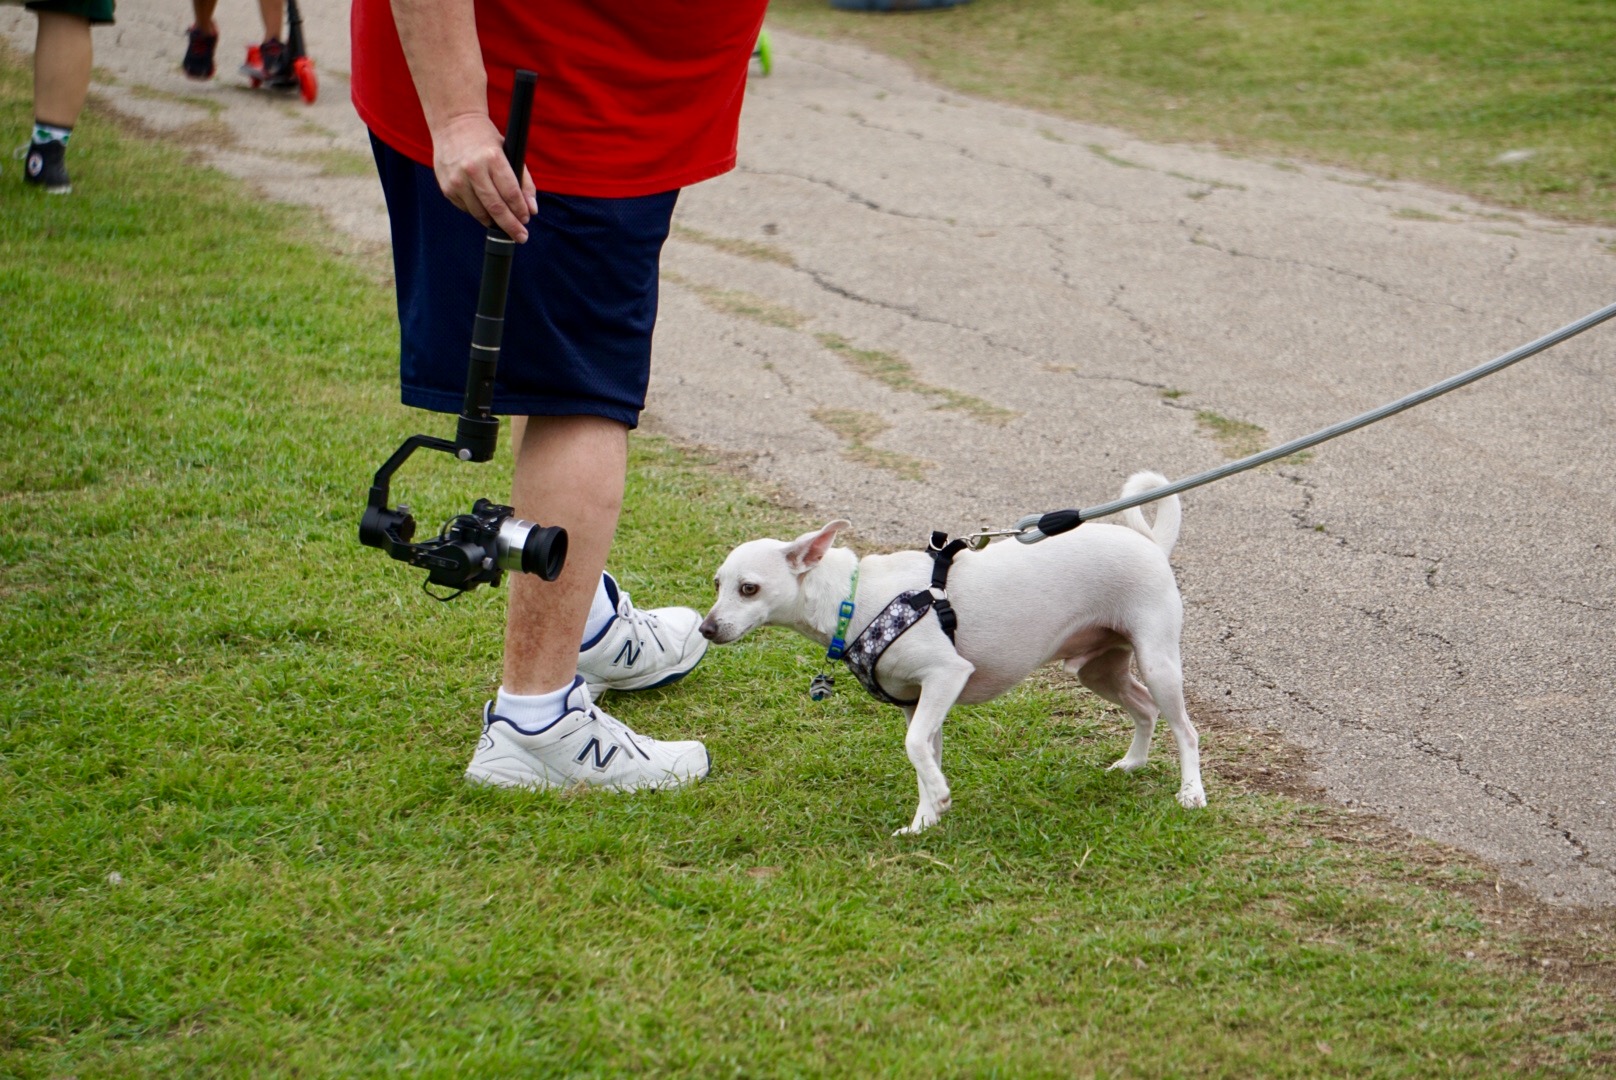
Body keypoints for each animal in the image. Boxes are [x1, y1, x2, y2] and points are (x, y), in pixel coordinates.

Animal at [699, 472, 1203, 835]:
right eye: (718, 584)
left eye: (749, 589)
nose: (705, 628)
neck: (852, 598)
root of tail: (1152, 544)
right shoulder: (918, 702)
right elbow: (923, 755)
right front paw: (925, 820)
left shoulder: (946, 676)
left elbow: (913, 746)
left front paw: (936, 802)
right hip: (1099, 671)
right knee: (1144, 709)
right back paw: (1132, 763)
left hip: (1157, 663)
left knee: (1186, 729)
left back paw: (1191, 793)